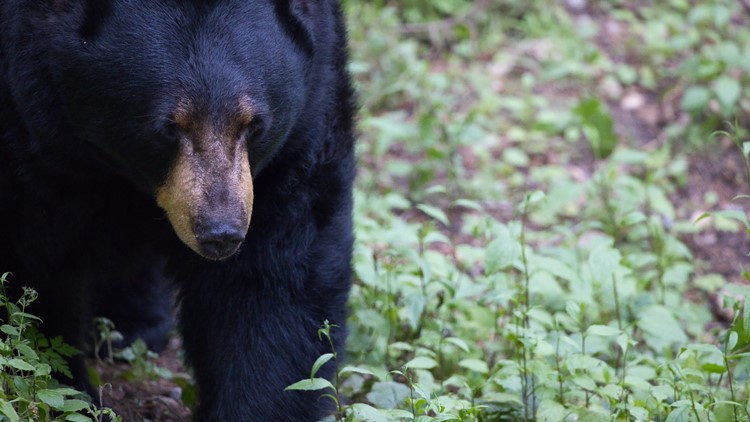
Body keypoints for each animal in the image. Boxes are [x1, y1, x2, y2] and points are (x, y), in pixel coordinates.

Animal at [0, 0, 355, 420]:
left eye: (254, 125)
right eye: (168, 128)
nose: (220, 233)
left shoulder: (307, 114)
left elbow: (277, 273)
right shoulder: (27, 133)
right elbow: (34, 265)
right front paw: (77, 397)